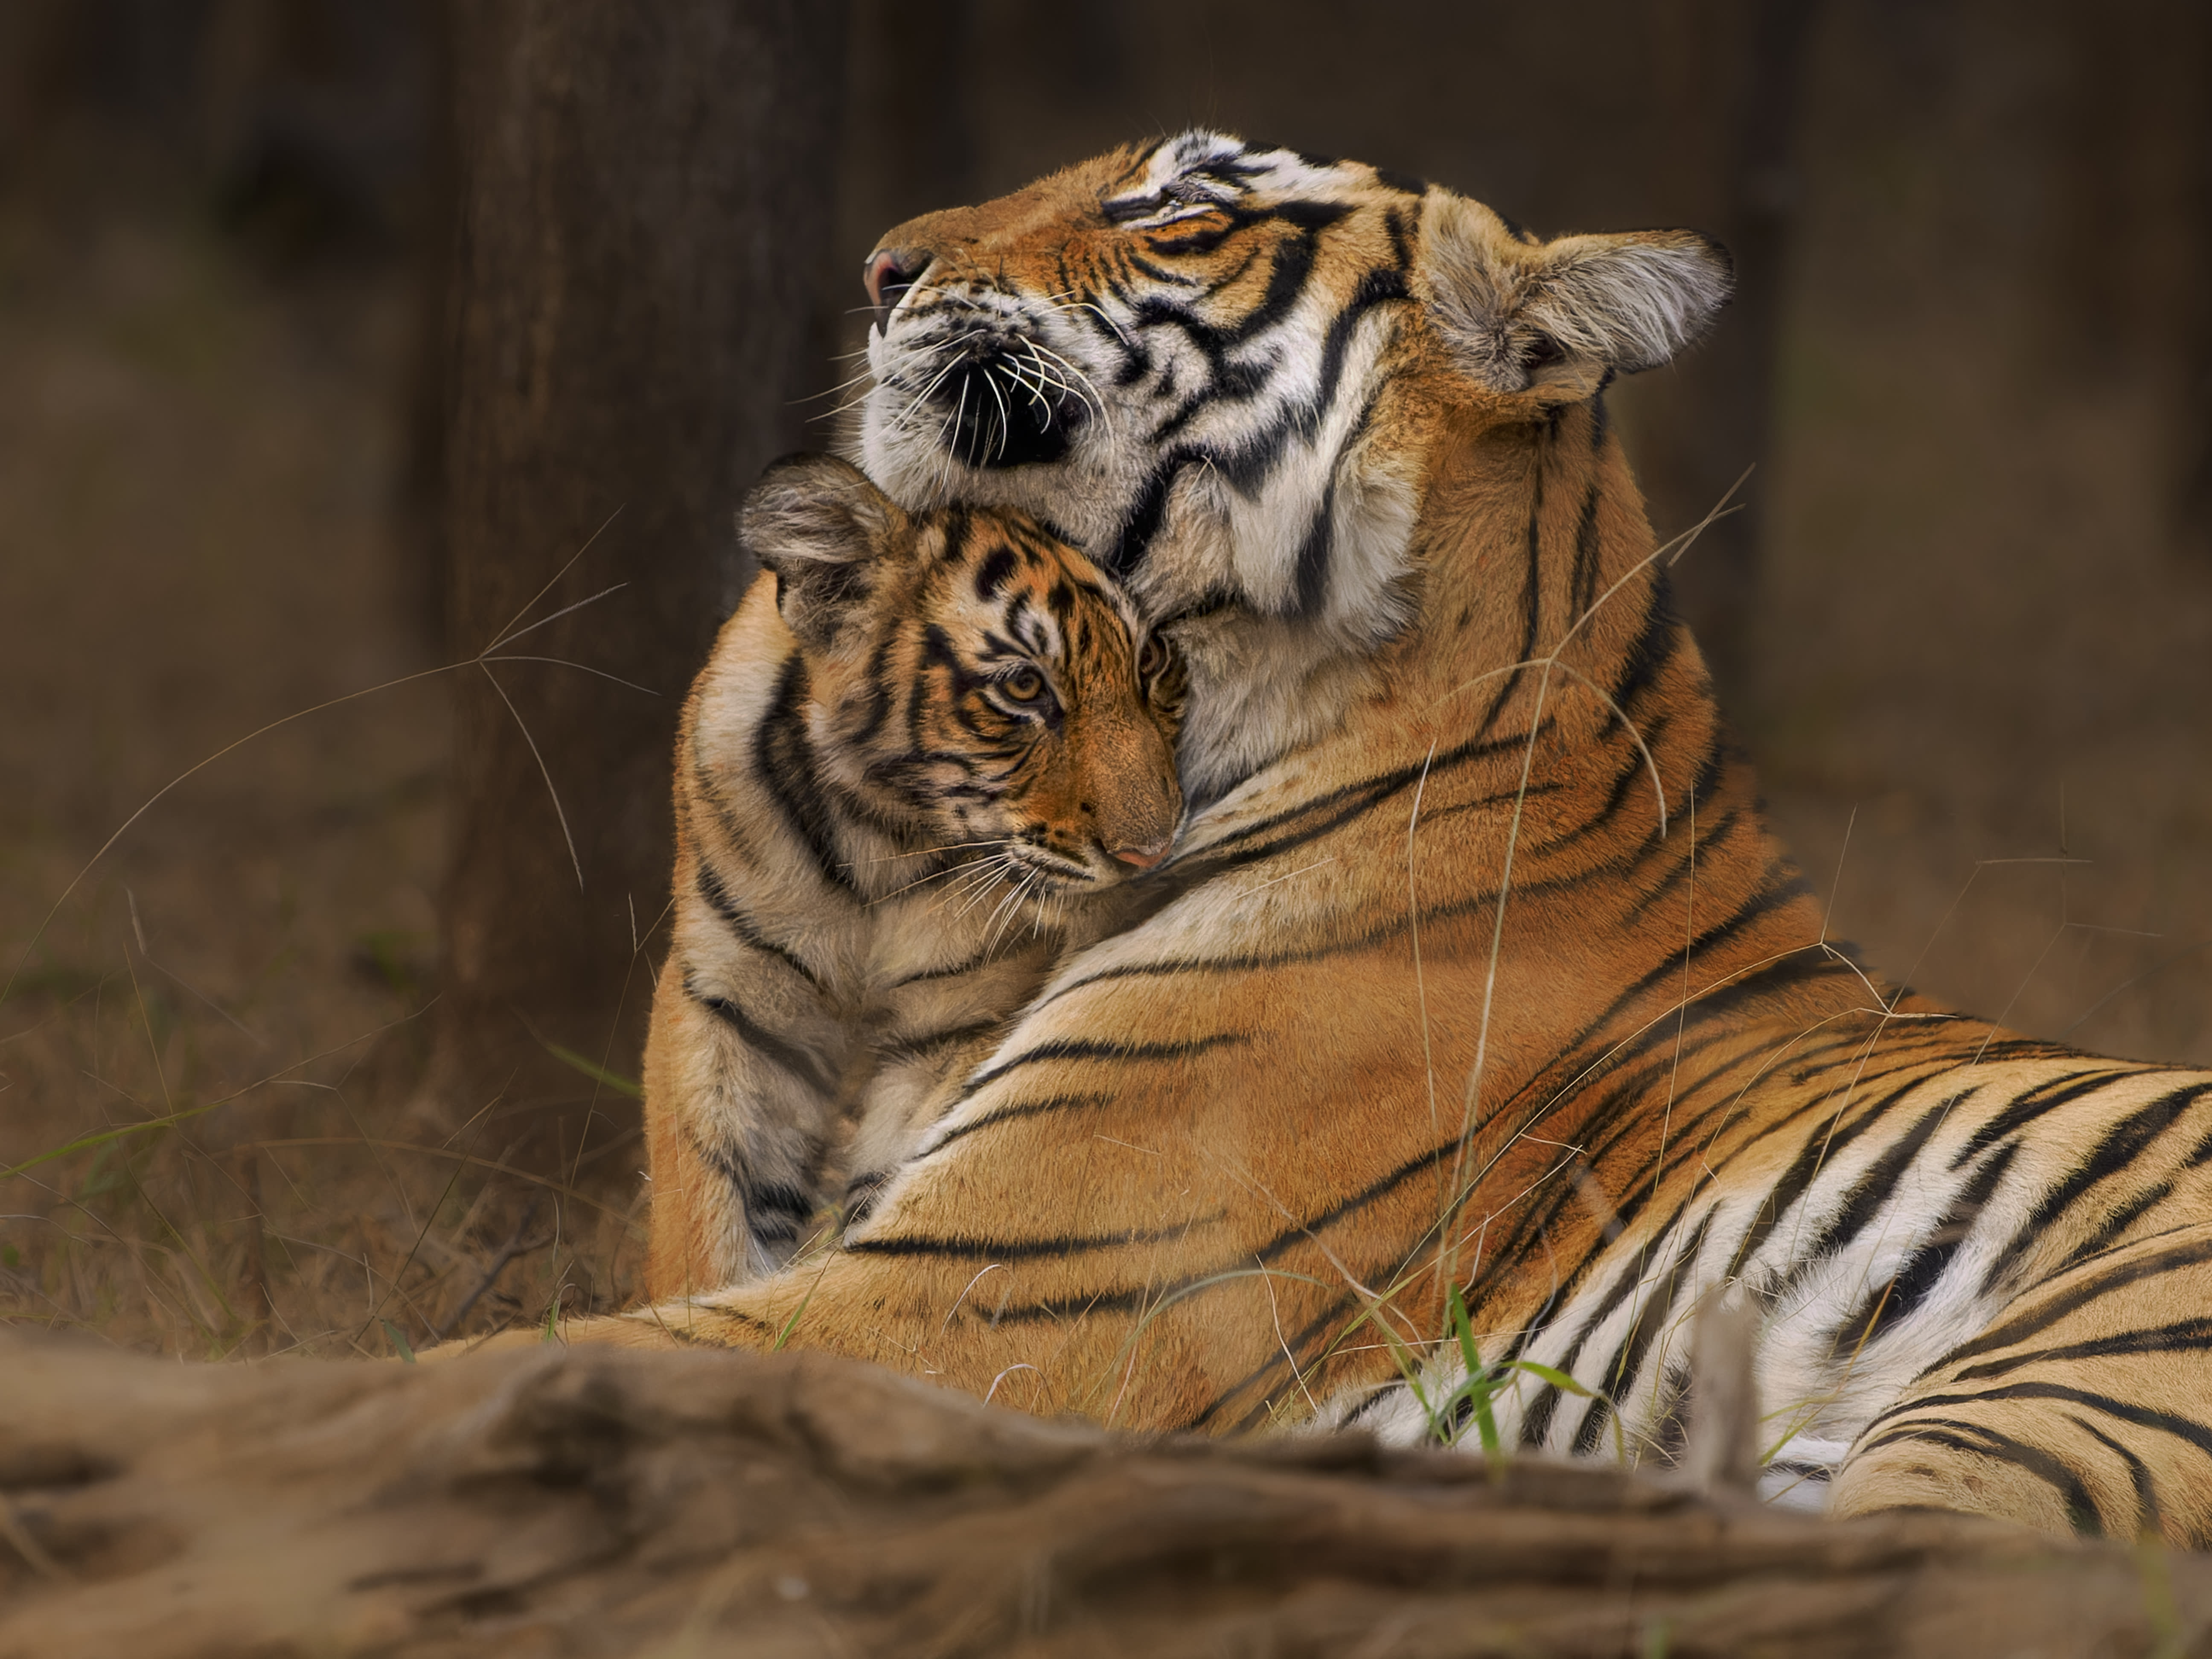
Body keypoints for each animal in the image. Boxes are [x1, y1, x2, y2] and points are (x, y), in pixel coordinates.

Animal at [641, 452, 1185, 1301]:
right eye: (1024, 687)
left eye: (1152, 661)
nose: (1152, 852)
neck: (875, 843)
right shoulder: (730, 1001)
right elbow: (708, 1213)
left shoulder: (956, 1020)